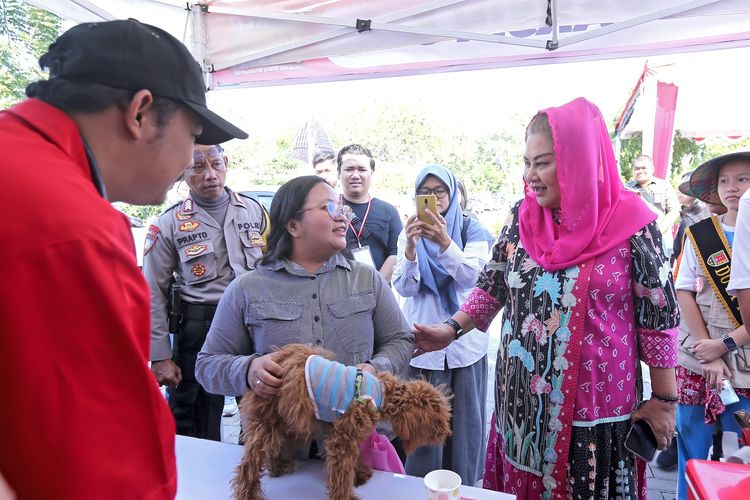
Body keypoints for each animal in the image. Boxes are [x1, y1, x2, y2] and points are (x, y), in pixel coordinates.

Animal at [235, 344, 452, 500]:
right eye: (438, 422)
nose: (446, 433)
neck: (382, 394)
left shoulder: (337, 429)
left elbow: (348, 463)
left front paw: (358, 473)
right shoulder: (343, 437)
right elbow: (341, 471)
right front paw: (345, 495)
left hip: (285, 420)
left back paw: (278, 466)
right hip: (269, 417)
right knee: (250, 463)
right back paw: (248, 493)